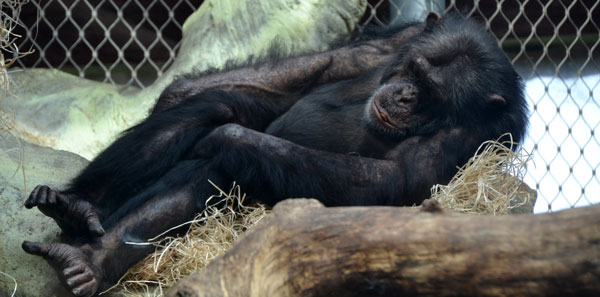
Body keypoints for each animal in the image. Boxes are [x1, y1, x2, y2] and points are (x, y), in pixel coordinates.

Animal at [19, 12, 524, 294]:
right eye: (415, 71)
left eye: (429, 93)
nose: (403, 95)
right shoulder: (400, 39)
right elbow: (324, 66)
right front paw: (179, 97)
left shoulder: (471, 137)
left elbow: (390, 182)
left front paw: (226, 138)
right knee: (216, 104)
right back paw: (75, 209)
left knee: (219, 168)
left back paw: (90, 262)